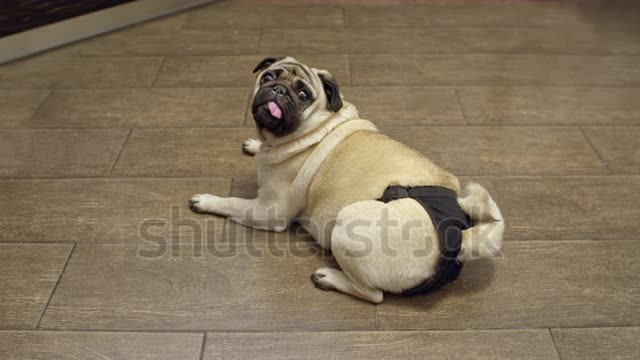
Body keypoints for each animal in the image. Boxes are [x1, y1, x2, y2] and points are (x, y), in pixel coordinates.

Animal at [190, 57, 504, 304]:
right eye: (268, 77)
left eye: (303, 94)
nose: (278, 89)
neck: (316, 126)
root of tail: (461, 238)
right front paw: (255, 145)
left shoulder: (268, 210)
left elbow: (233, 203)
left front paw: (207, 200)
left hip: (347, 221)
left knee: (374, 295)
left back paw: (329, 278)